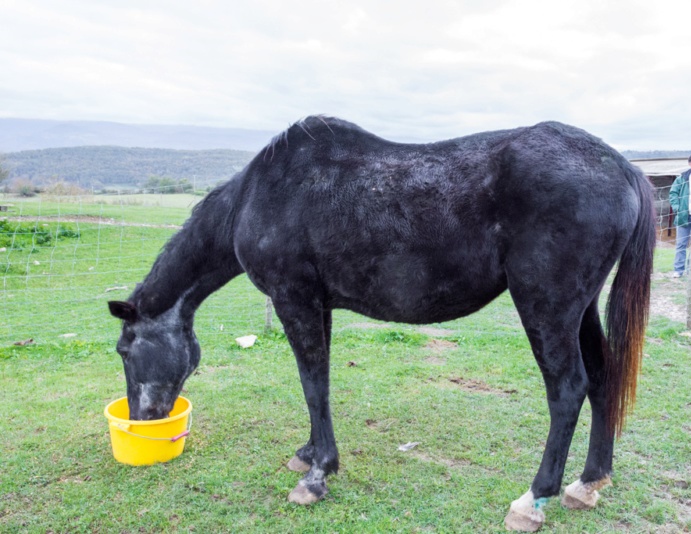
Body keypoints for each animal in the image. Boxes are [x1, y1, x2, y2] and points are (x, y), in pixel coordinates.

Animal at [108, 117, 656, 532]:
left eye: (124, 350)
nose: (142, 418)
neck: (257, 196)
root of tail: (623, 168)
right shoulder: (319, 305)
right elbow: (320, 383)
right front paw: (310, 453)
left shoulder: (294, 299)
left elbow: (312, 382)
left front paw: (317, 476)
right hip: (580, 308)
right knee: (602, 379)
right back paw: (588, 483)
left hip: (547, 307)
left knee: (567, 390)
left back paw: (533, 499)